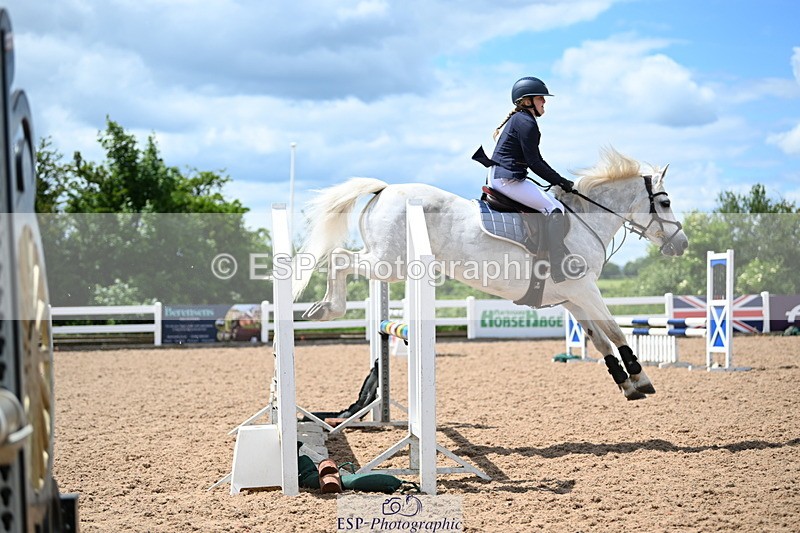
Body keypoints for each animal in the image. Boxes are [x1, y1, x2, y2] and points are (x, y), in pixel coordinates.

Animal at [292, 148, 689, 400]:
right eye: (665, 202)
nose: (681, 244)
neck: (582, 220)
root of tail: (384, 188)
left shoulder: (573, 298)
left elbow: (599, 339)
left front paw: (626, 384)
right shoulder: (586, 290)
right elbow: (616, 331)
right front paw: (642, 379)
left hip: (387, 263)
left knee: (341, 261)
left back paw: (322, 308)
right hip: (390, 263)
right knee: (339, 259)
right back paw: (327, 309)